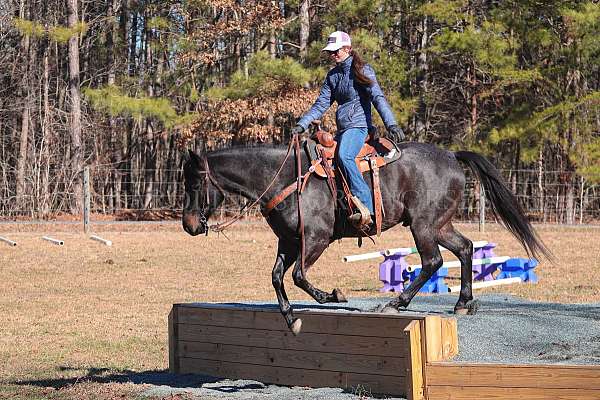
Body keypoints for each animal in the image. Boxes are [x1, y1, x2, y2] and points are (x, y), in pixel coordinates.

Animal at [183, 140, 552, 334]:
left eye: (195, 182)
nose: (188, 225)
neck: (285, 178)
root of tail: (451, 156)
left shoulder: (316, 239)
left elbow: (299, 276)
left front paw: (333, 295)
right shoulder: (289, 241)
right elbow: (276, 277)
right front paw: (290, 317)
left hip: (423, 226)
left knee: (432, 261)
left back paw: (397, 303)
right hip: (440, 225)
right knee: (464, 248)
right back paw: (463, 303)